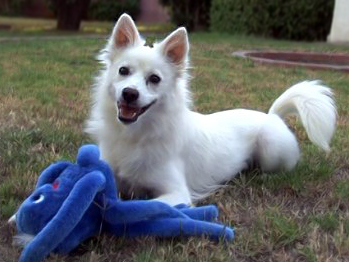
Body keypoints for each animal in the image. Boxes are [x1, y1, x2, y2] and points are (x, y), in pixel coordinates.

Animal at [83, 13, 334, 207]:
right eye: (123, 71)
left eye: (154, 79)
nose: (129, 93)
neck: (135, 135)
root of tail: (272, 116)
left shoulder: (177, 193)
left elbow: (142, 206)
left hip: (271, 148)